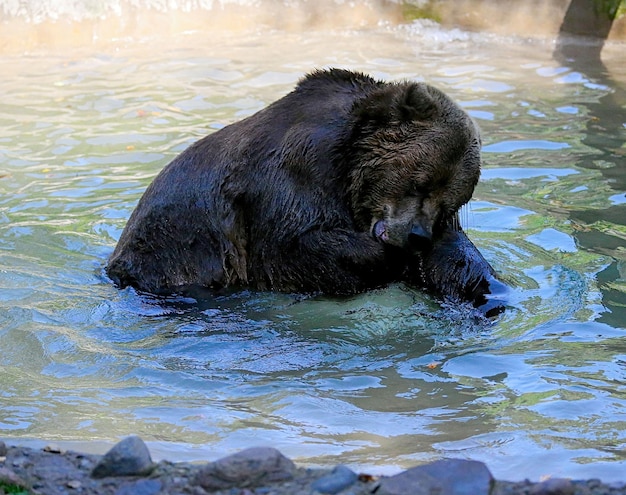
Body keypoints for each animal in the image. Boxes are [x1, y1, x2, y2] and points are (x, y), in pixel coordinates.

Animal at [107, 68, 504, 316]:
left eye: (450, 203)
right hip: (173, 256)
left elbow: (454, 258)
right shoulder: (294, 173)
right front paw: (386, 259)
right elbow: (295, 247)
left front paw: (486, 291)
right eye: (420, 182)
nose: (418, 235)